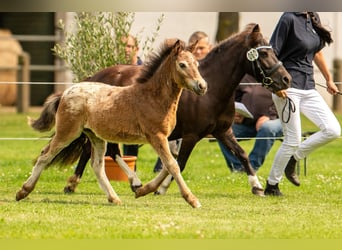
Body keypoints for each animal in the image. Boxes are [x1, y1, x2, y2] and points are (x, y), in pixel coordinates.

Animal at [16, 38, 207, 207]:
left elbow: (170, 163)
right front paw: (192, 200)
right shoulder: (156, 136)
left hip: (96, 137)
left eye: (197, 64)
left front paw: (143, 190)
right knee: (45, 154)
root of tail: (65, 92)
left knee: (97, 165)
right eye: (182, 65)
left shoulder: (165, 138)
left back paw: (114, 198)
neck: (153, 97)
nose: (202, 86)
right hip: (67, 132)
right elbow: (173, 165)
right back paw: (23, 191)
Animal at [62, 23, 290, 197]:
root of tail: (93, 78)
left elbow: (242, 154)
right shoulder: (191, 136)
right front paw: (159, 188)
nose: (286, 79)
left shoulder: (222, 131)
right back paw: (127, 182)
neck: (212, 91)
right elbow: (179, 163)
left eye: (272, 51)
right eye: (263, 52)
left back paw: (76, 184)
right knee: (103, 151)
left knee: (98, 151)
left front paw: (257, 186)